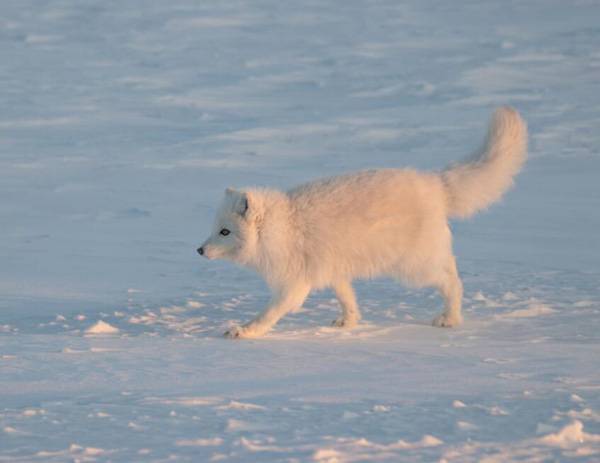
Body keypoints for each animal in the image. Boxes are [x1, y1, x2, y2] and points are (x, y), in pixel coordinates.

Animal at [197, 107, 524, 338]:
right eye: (214, 229)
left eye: (225, 231)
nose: (199, 251)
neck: (284, 228)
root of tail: (435, 184)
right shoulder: (333, 270)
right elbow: (347, 297)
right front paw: (348, 322)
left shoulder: (294, 283)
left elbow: (269, 313)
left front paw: (244, 331)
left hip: (414, 266)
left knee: (452, 280)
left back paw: (450, 319)